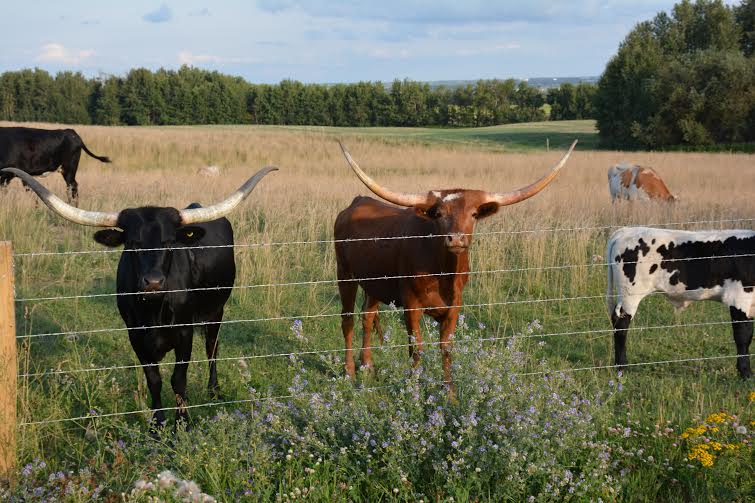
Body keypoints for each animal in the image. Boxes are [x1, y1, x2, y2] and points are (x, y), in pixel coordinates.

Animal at [1, 166, 277, 428]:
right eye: (133, 243)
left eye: (169, 242)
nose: (153, 282)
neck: (154, 310)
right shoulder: (135, 335)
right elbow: (154, 380)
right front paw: (157, 425)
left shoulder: (184, 332)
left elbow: (178, 379)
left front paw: (183, 424)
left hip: (216, 311)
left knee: (212, 348)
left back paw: (214, 391)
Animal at [334, 140, 577, 395]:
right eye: (439, 214)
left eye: (474, 214)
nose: (457, 239)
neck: (444, 274)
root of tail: (358, 201)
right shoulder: (411, 303)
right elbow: (416, 347)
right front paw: (414, 388)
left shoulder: (455, 305)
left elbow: (446, 347)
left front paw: (449, 393)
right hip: (345, 275)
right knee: (348, 319)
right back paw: (349, 371)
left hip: (373, 282)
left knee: (367, 316)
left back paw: (367, 365)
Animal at [607, 227, 754, 378]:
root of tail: (626, 230)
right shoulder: (739, 297)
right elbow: (743, 336)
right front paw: (745, 372)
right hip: (630, 294)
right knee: (621, 324)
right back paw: (621, 367)